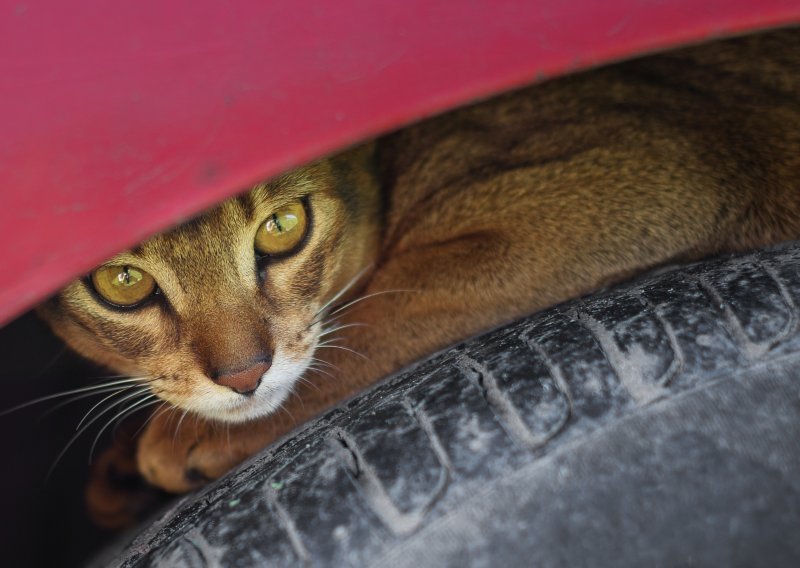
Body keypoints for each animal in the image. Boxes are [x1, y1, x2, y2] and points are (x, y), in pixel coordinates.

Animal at [36, 27, 800, 520]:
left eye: (283, 227)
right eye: (124, 283)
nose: (244, 375)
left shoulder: (649, 173)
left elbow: (372, 321)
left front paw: (175, 438)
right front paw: (124, 465)